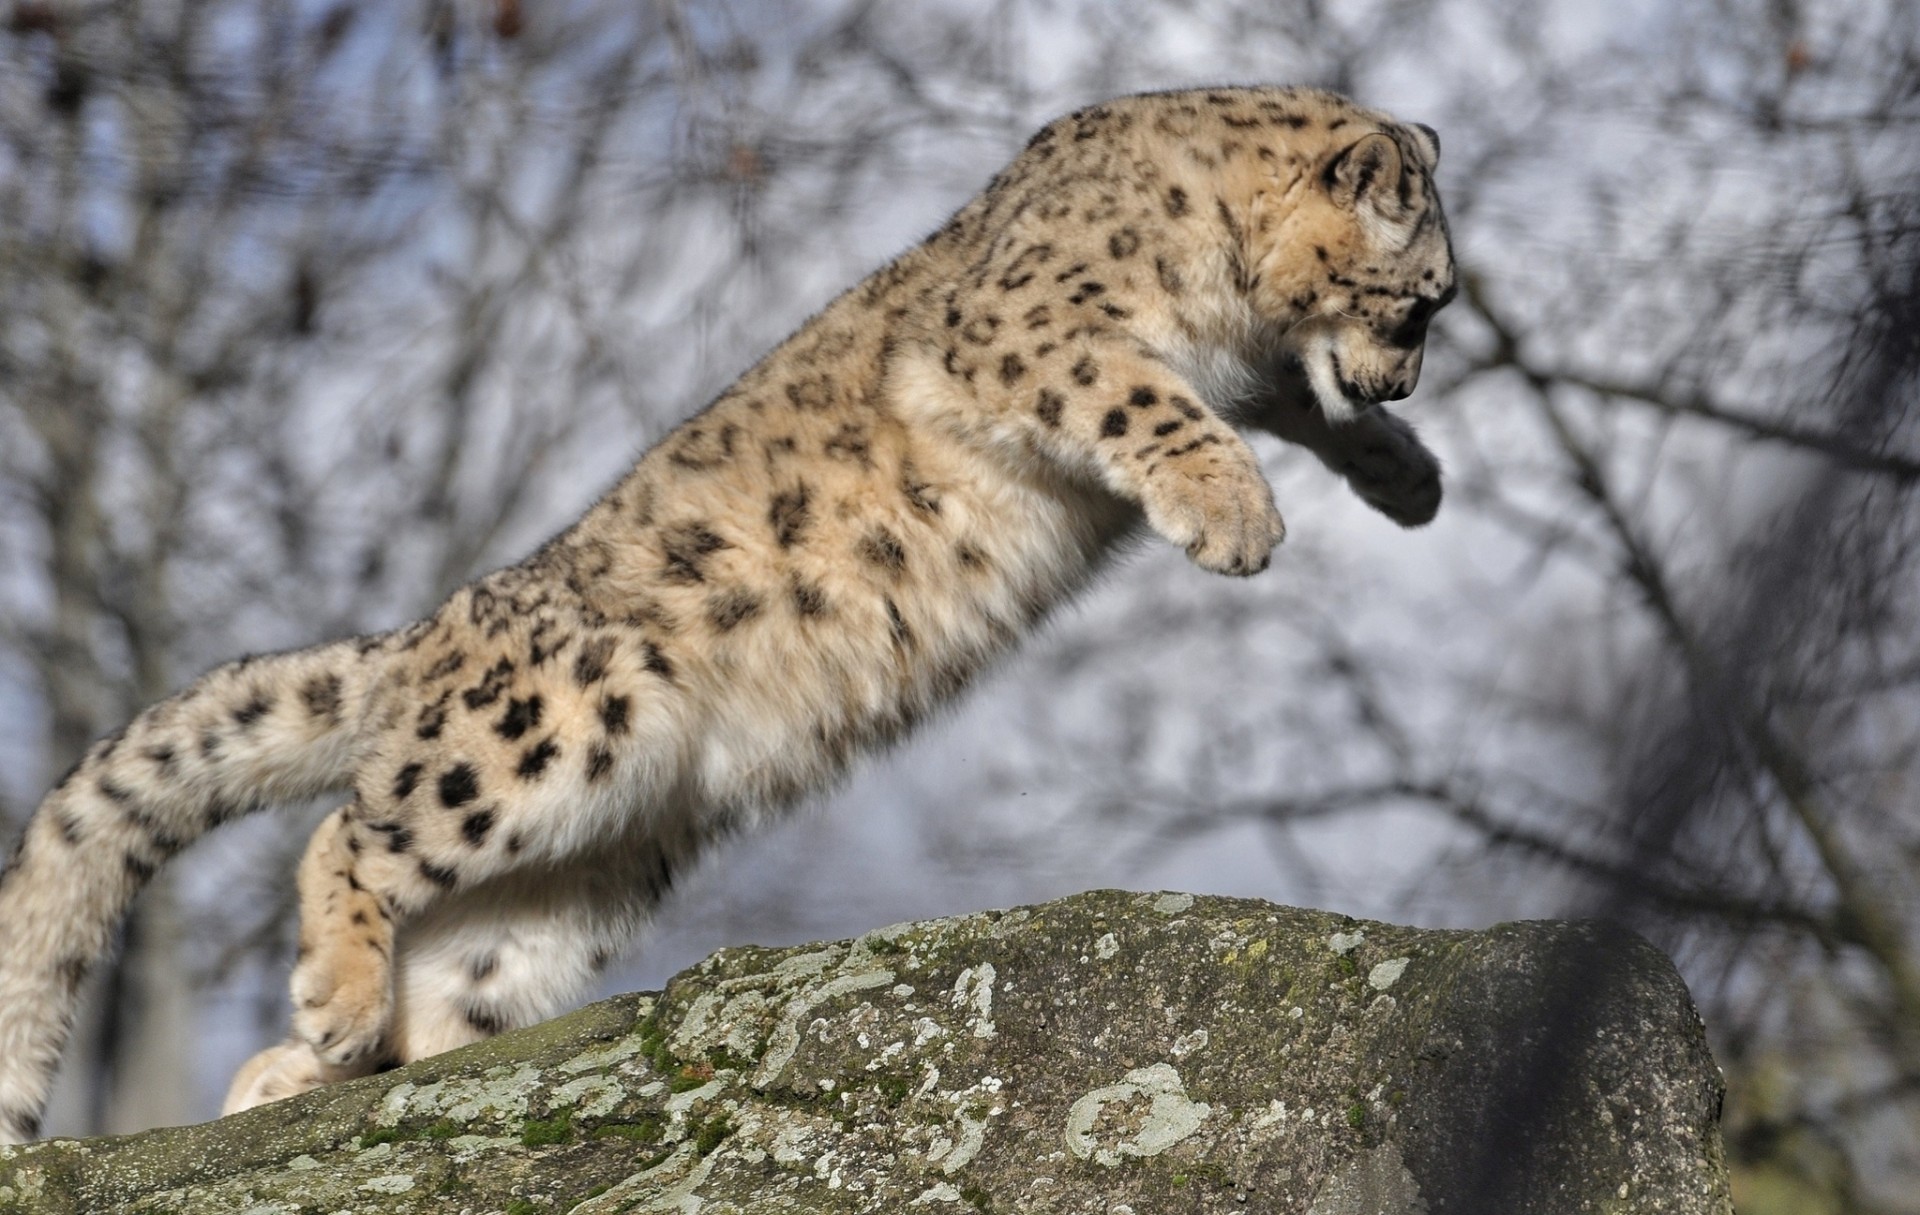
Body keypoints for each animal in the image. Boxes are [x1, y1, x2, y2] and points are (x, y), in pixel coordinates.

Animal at [0, 84, 1455, 1142]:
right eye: (1421, 299)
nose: (1407, 377)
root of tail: (434, 630)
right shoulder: (1026, 332)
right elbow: (1154, 401)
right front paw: (1239, 512)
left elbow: (1287, 402)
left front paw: (1404, 475)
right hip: (561, 719)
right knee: (352, 831)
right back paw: (330, 1010)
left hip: (569, 883)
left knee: (450, 997)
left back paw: (300, 1072)